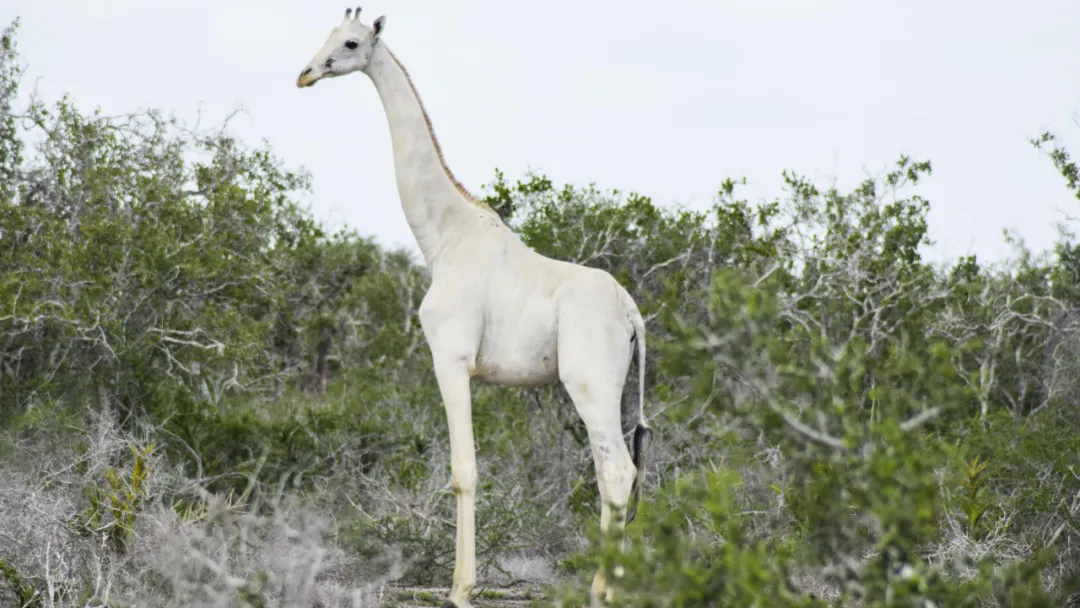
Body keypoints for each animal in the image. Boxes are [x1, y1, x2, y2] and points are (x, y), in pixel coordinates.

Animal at [293, 7, 648, 604]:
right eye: (325, 35)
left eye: (351, 43)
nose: (307, 73)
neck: (442, 237)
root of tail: (632, 315)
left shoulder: (451, 358)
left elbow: (465, 471)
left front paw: (460, 588)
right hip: (612, 388)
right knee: (614, 472)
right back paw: (608, 585)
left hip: (589, 384)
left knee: (618, 471)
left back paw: (606, 591)